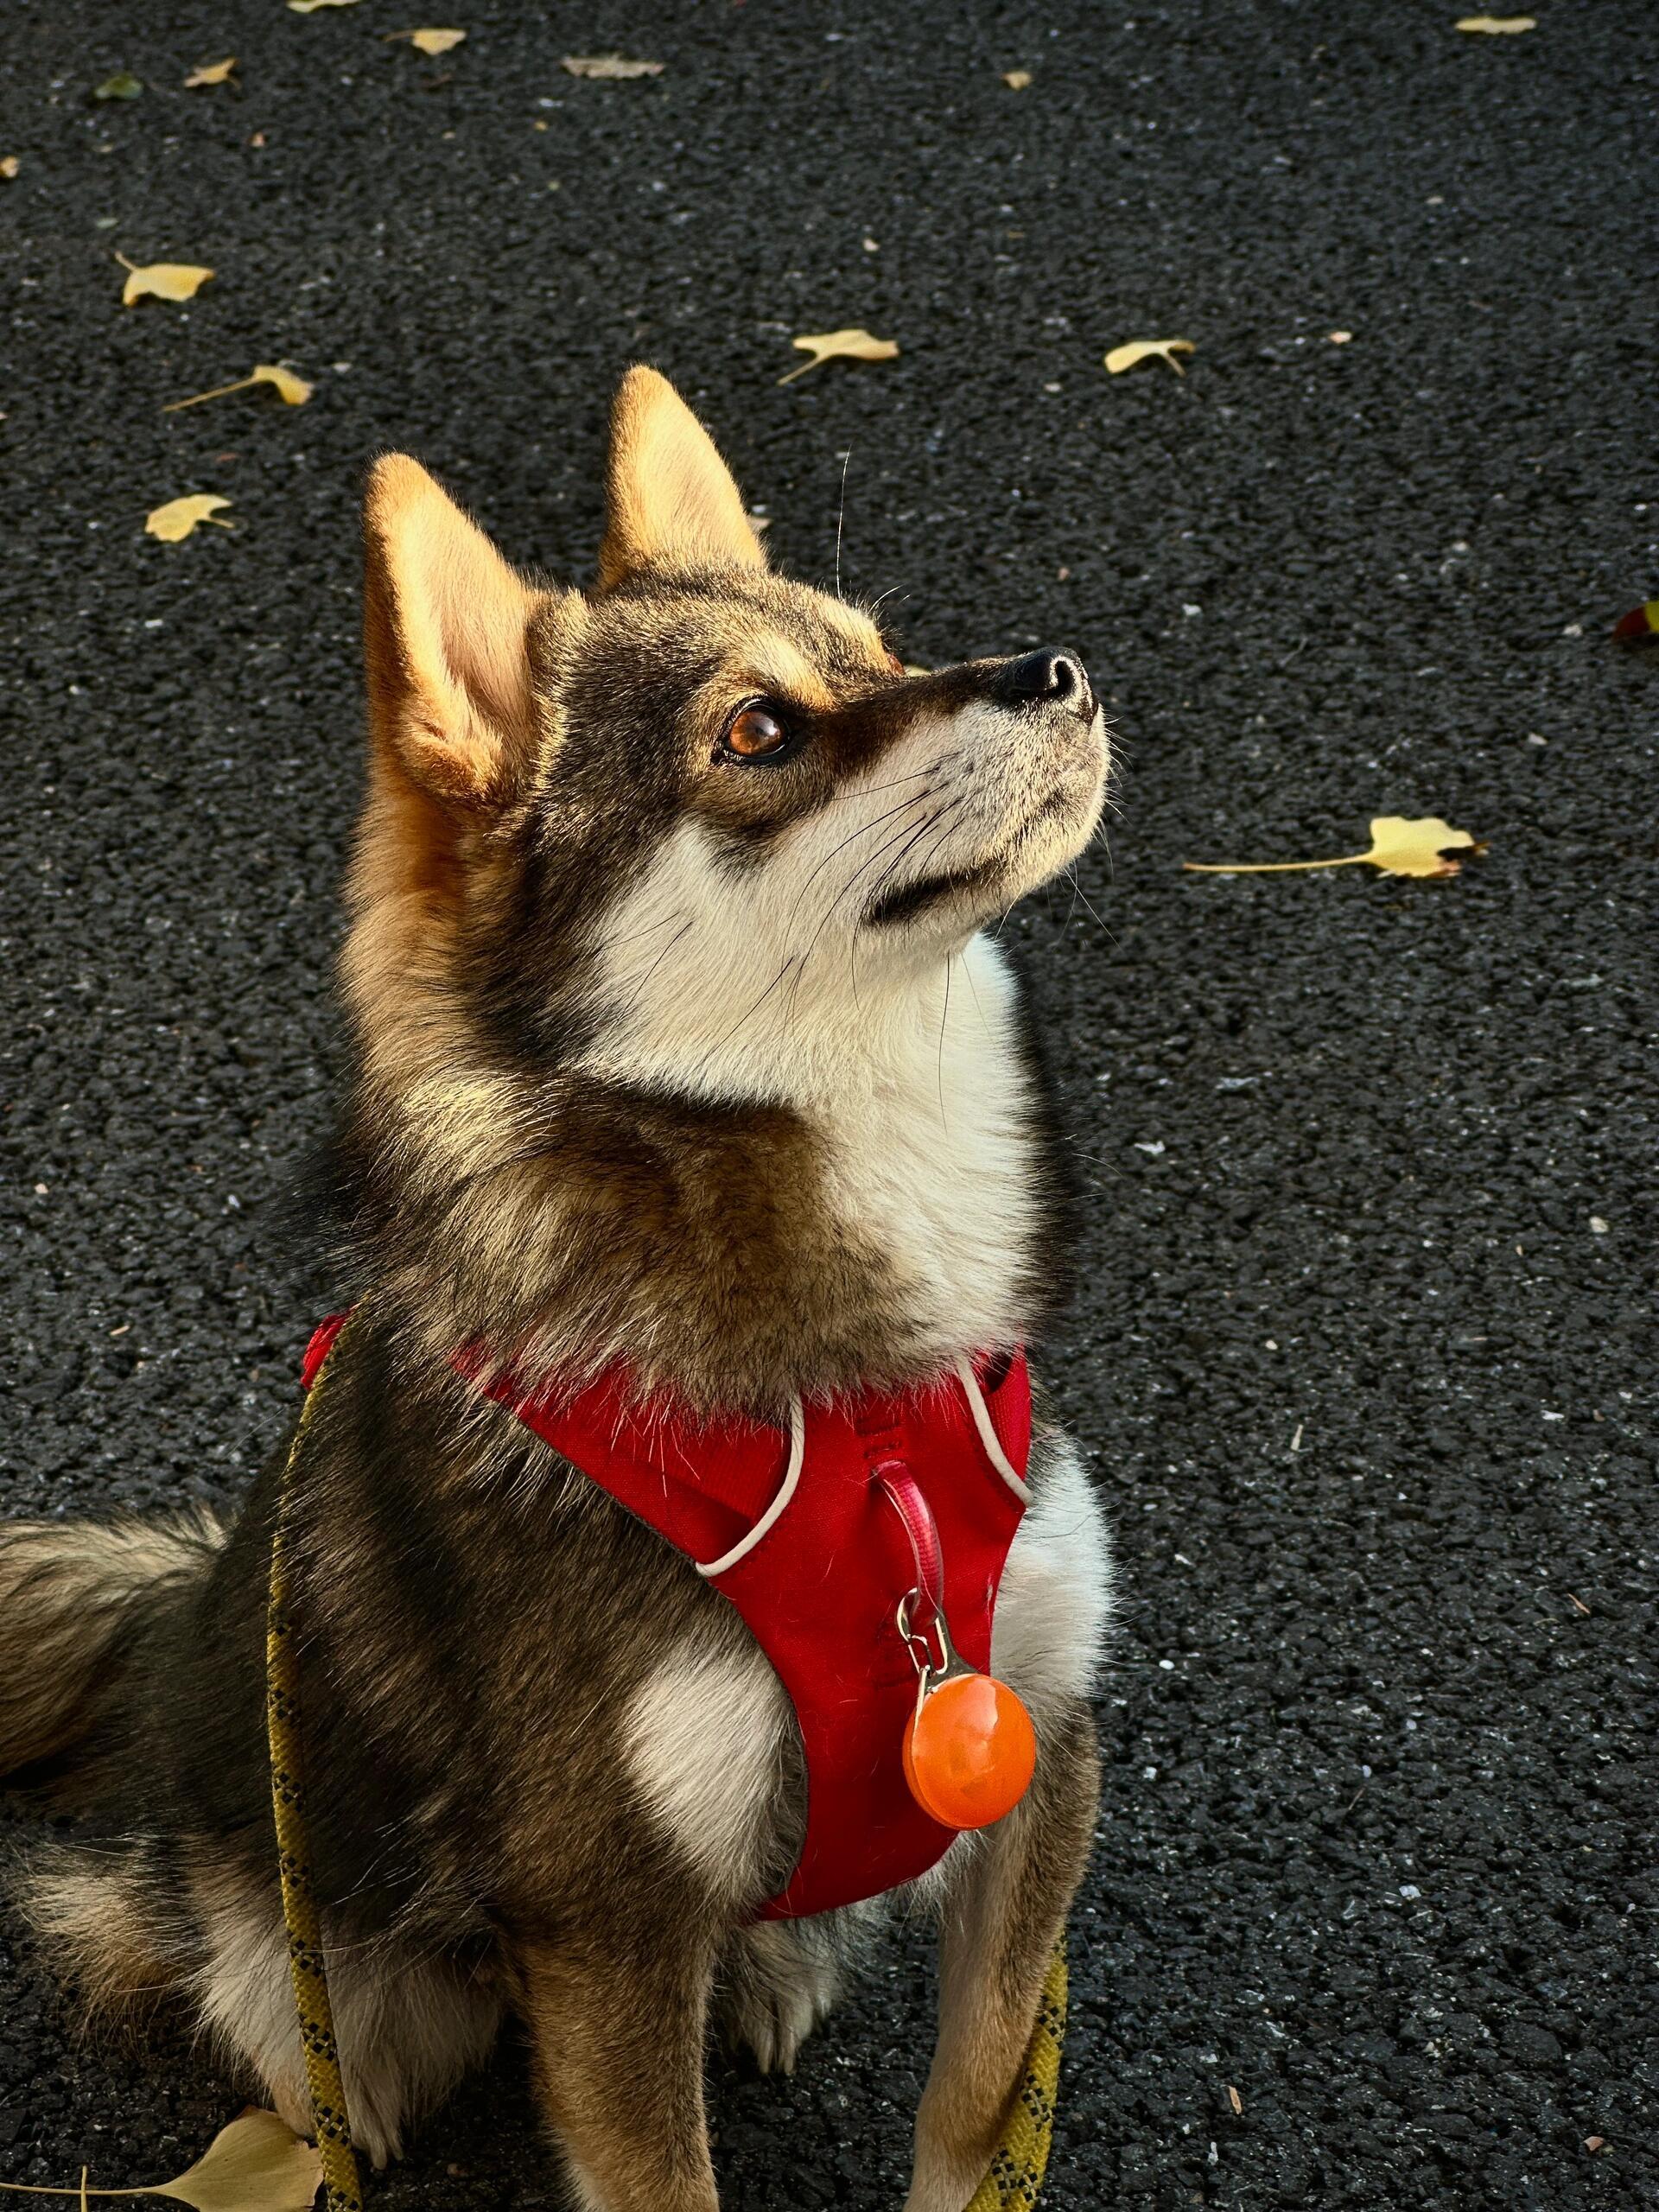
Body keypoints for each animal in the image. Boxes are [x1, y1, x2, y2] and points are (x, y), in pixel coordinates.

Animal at [3, 372, 1119, 2202]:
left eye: (882, 652)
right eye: (759, 733)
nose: (1060, 670)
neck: (861, 1423)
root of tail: (189, 1601)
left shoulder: (1041, 1766)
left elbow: (975, 2121)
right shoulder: (608, 1922)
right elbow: (663, 2171)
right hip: (304, 1939)